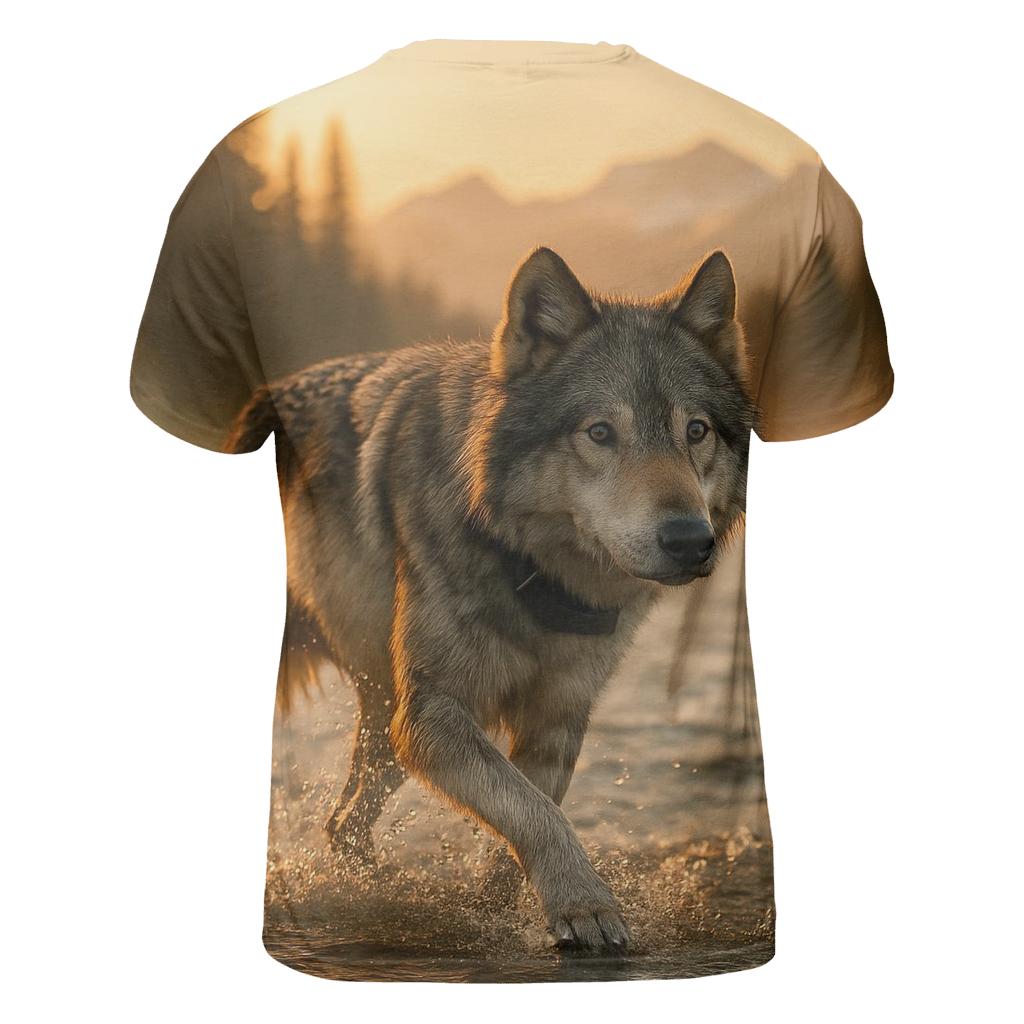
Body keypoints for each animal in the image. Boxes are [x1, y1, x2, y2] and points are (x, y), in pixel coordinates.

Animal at [228, 247, 755, 952]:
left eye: (695, 431)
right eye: (600, 432)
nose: (690, 540)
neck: (536, 579)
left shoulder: (558, 718)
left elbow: (524, 821)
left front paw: (504, 912)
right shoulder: (434, 716)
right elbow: (535, 814)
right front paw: (586, 905)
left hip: (385, 719)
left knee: (344, 824)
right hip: (395, 716)